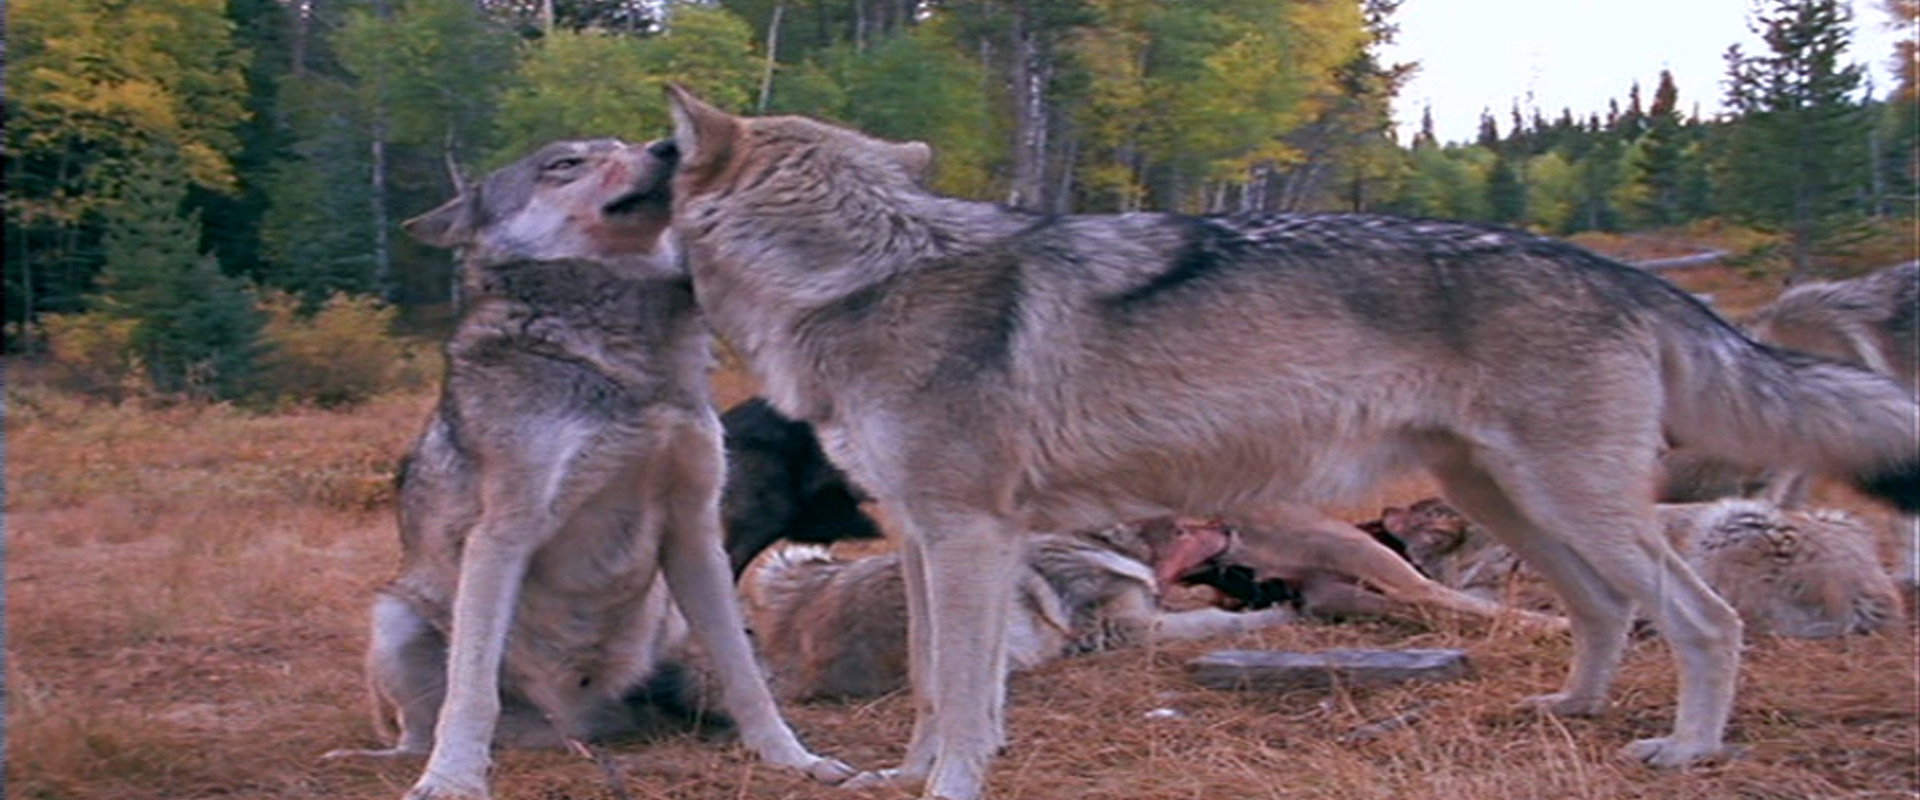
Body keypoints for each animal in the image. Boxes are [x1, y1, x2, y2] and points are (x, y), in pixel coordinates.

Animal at [320, 139, 848, 800]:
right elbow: (472, 691)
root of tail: (577, 724)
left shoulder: (695, 531)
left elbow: (745, 678)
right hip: (394, 617)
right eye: (565, 164)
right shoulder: (502, 537)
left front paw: (792, 759)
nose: (670, 146)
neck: (624, 360)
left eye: (628, 144)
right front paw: (452, 780)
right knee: (421, 730)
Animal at [743, 521, 1297, 702]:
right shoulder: (1133, 627)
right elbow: (1213, 621)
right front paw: (1271, 616)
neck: (1102, 541)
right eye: (1194, 527)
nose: (1231, 526)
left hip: (793, 563)